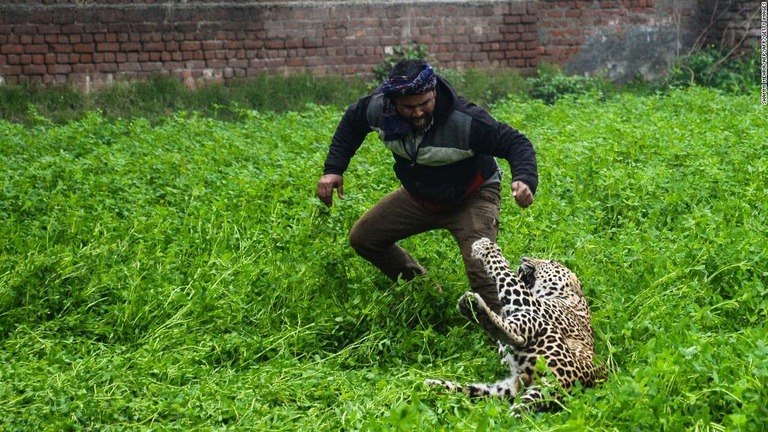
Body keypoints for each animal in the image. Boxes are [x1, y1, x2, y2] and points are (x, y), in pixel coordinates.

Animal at [426, 238, 608, 414]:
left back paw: (475, 310)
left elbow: (506, 273)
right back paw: (434, 384)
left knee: (515, 335)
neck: (574, 299)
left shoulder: (531, 303)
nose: (524, 259)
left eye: (551, 262)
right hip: (505, 390)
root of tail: (561, 384)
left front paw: (486, 248)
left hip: (539, 327)